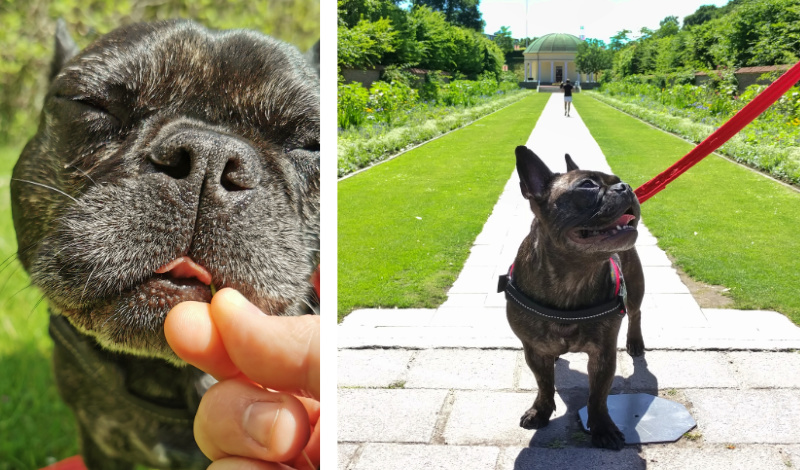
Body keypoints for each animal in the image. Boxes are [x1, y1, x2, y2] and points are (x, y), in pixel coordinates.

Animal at [504, 145, 648, 450]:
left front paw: (602, 427)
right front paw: (541, 411)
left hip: (635, 286)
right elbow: (544, 384)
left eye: (617, 180)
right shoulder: (533, 350)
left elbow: (598, 396)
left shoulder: (603, 353)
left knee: (636, 313)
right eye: (588, 185)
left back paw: (635, 342)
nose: (626, 186)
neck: (574, 273)